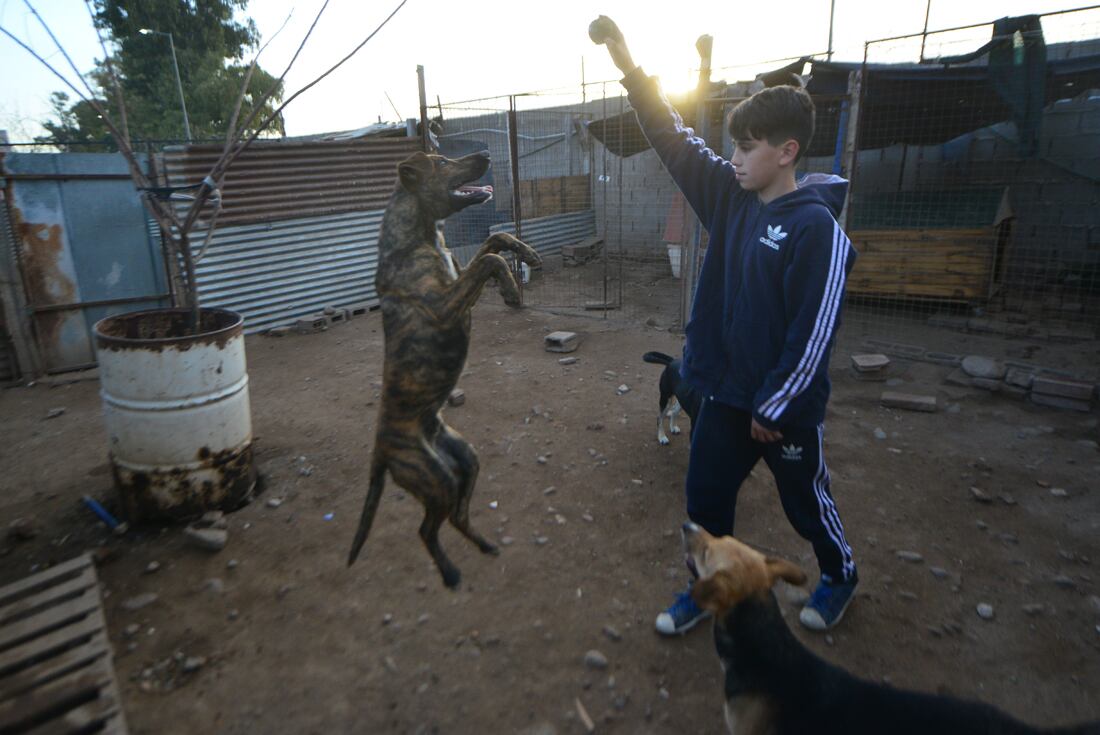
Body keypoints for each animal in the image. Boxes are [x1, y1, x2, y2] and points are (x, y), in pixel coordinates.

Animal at [347, 151, 541, 589]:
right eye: (442, 161)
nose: (484, 154)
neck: (418, 235)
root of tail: (380, 453)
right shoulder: (443, 305)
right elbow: (488, 258)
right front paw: (510, 284)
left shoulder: (460, 284)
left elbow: (493, 244)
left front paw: (523, 258)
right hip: (436, 481)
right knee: (426, 529)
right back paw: (450, 573)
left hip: (467, 462)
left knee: (457, 516)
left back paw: (485, 546)